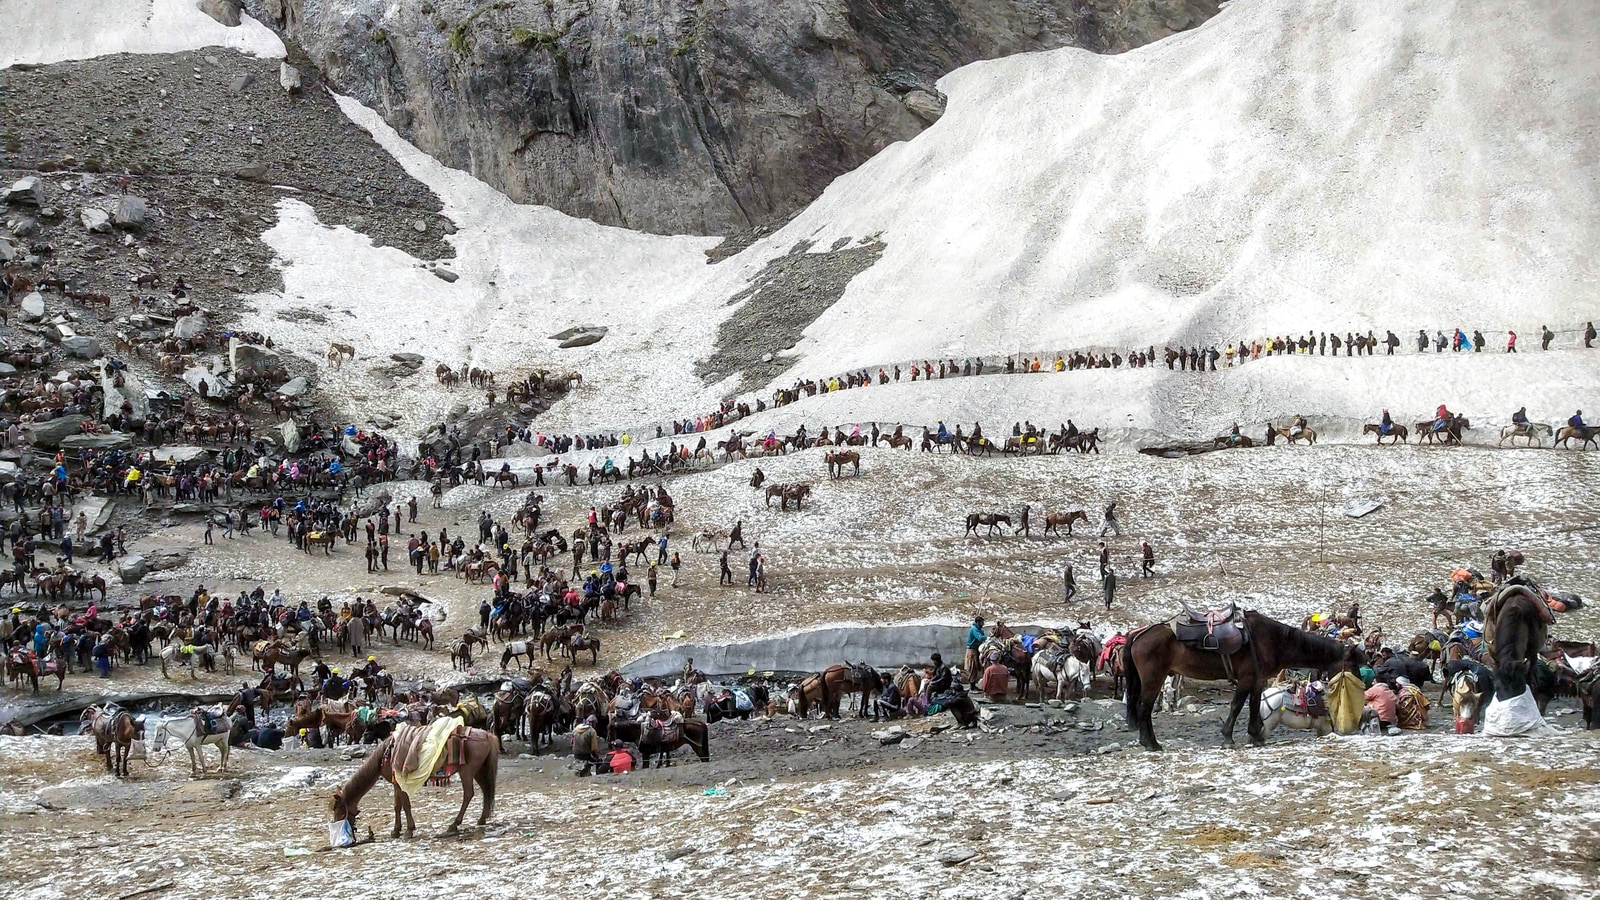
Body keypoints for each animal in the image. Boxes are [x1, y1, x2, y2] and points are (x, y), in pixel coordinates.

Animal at [328, 723, 496, 839]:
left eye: (339, 810)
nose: (339, 828)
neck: (385, 755)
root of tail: (487, 735)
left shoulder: (401, 781)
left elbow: (405, 804)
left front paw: (408, 830)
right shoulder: (396, 783)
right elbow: (397, 806)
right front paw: (396, 830)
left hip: (467, 771)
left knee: (468, 794)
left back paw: (454, 825)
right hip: (479, 771)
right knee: (486, 791)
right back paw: (482, 819)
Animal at [1126, 605, 1363, 746]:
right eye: (1352, 665)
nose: (1362, 685)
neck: (1270, 640)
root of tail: (1139, 634)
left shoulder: (1258, 679)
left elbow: (1254, 705)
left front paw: (1256, 736)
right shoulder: (1247, 679)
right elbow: (1237, 705)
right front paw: (1228, 738)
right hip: (1154, 679)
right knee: (1144, 707)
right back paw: (1151, 744)